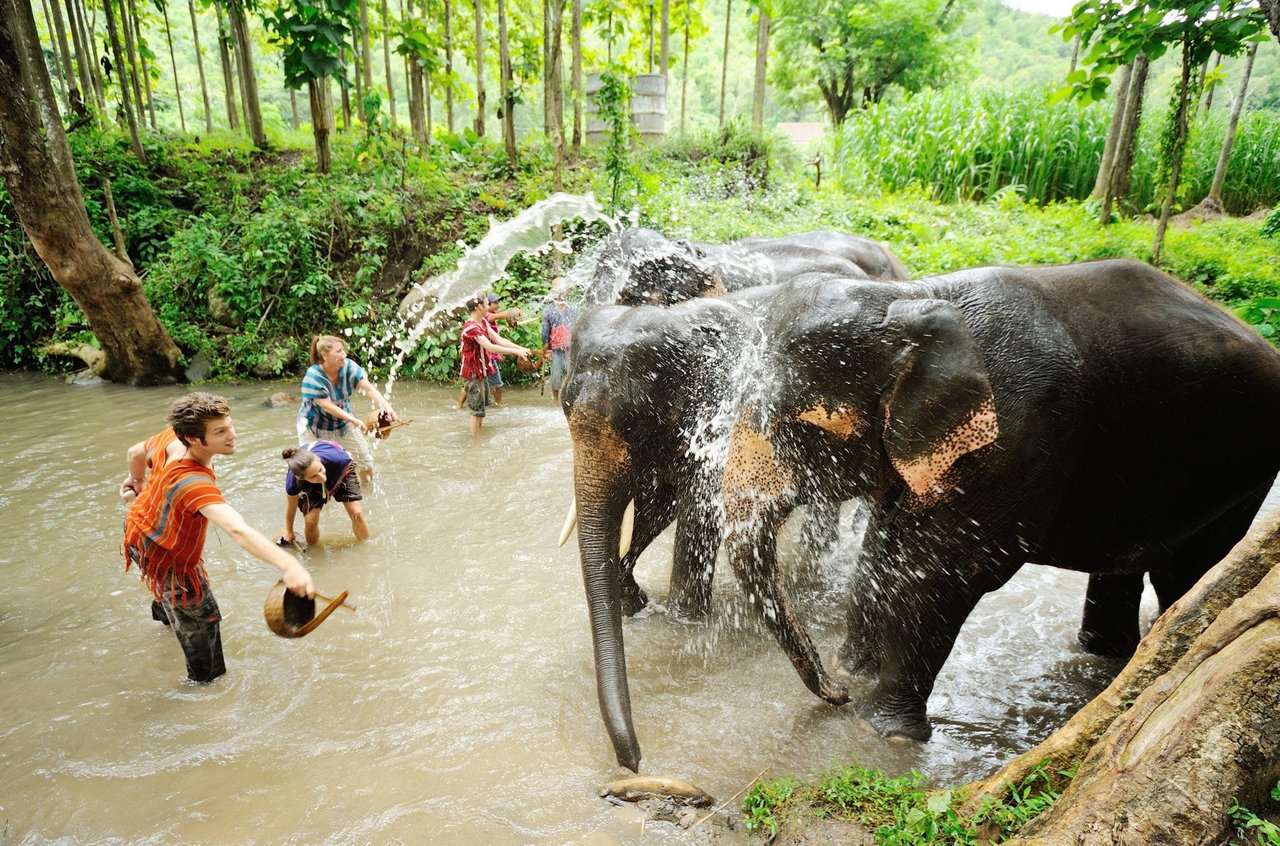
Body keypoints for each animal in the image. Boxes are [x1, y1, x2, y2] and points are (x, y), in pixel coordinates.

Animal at [711, 258, 1280, 747]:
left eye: (801, 426)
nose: (837, 694)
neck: (915, 299)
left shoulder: (1020, 433)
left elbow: (939, 574)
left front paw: (885, 731)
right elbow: (880, 551)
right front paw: (856, 669)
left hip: (1241, 468)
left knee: (1189, 571)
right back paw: (1103, 657)